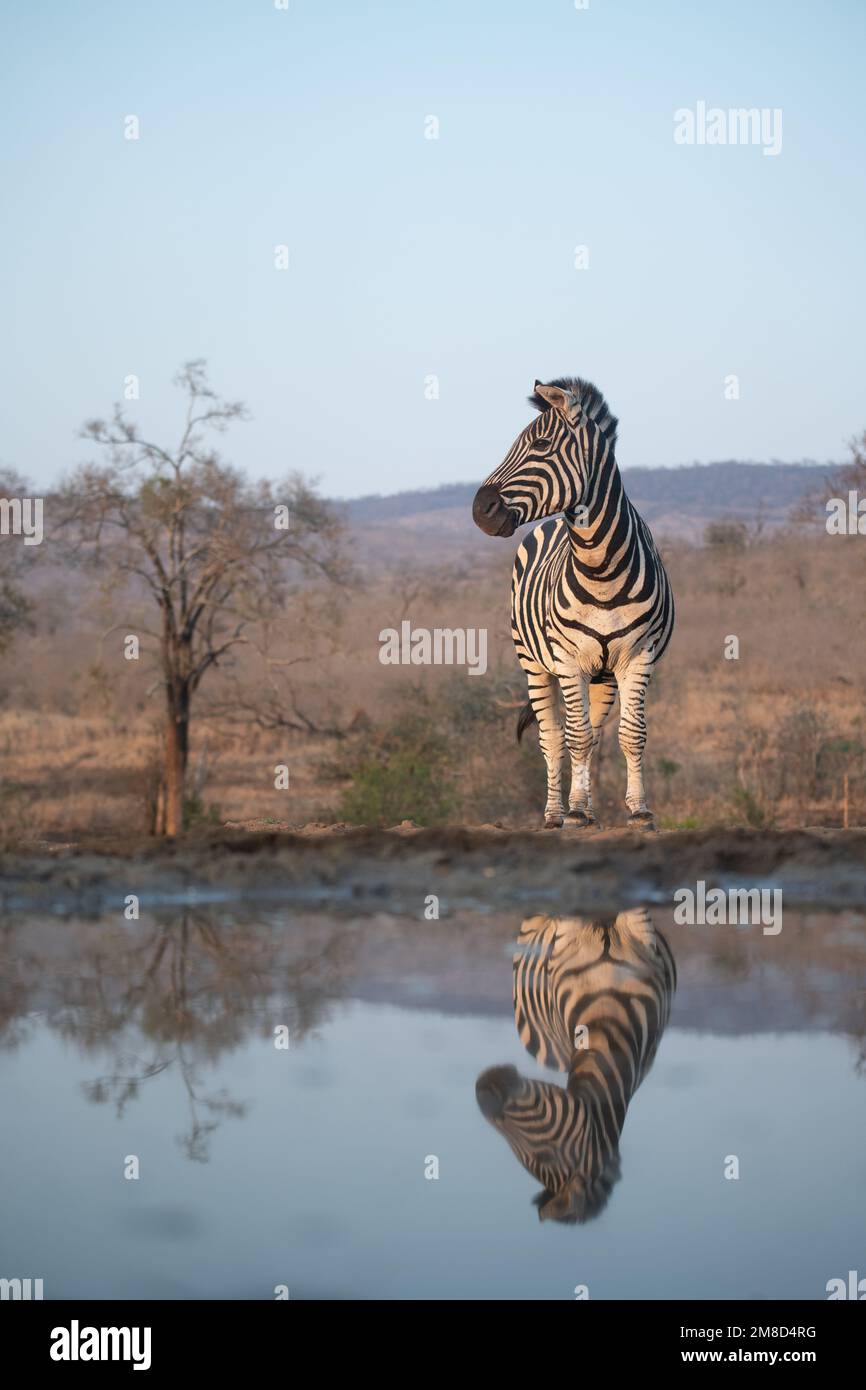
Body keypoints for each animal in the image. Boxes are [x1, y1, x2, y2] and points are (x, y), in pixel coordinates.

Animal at [469, 375, 675, 822]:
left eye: (542, 445)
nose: (479, 511)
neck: (601, 568)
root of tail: (546, 525)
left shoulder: (639, 656)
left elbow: (630, 734)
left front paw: (638, 811)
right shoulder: (566, 659)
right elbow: (572, 737)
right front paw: (574, 815)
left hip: (603, 675)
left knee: (594, 735)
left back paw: (587, 808)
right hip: (534, 664)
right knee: (552, 737)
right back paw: (555, 814)